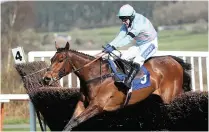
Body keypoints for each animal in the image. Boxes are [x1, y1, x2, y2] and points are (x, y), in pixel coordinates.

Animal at [42, 41, 191, 130]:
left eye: (61, 60)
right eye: (51, 59)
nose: (46, 78)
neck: (96, 76)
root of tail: (173, 59)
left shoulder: (97, 105)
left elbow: (76, 121)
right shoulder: (82, 104)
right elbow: (69, 123)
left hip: (171, 96)